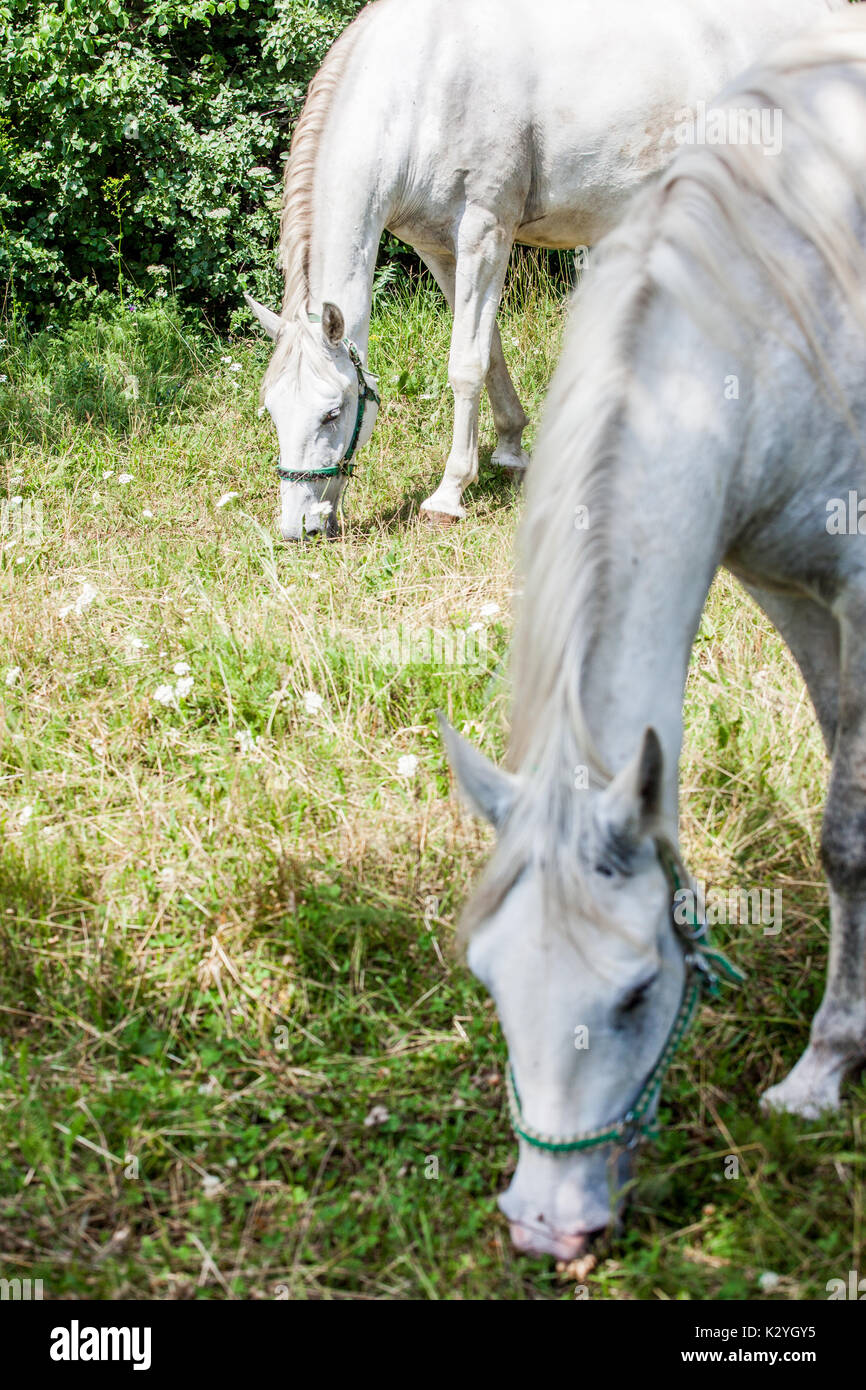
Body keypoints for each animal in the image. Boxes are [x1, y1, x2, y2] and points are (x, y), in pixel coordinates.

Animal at [244, 0, 839, 536]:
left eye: (332, 411)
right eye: (271, 410)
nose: (299, 526)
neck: (422, 88)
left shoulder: (486, 231)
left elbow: (465, 364)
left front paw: (448, 495)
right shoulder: (442, 250)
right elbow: (489, 353)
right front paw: (511, 451)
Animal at [444, 10, 866, 1267]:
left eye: (634, 994)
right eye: (490, 984)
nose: (545, 1228)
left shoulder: (858, 586)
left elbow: (845, 834)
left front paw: (823, 1068)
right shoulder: (787, 591)